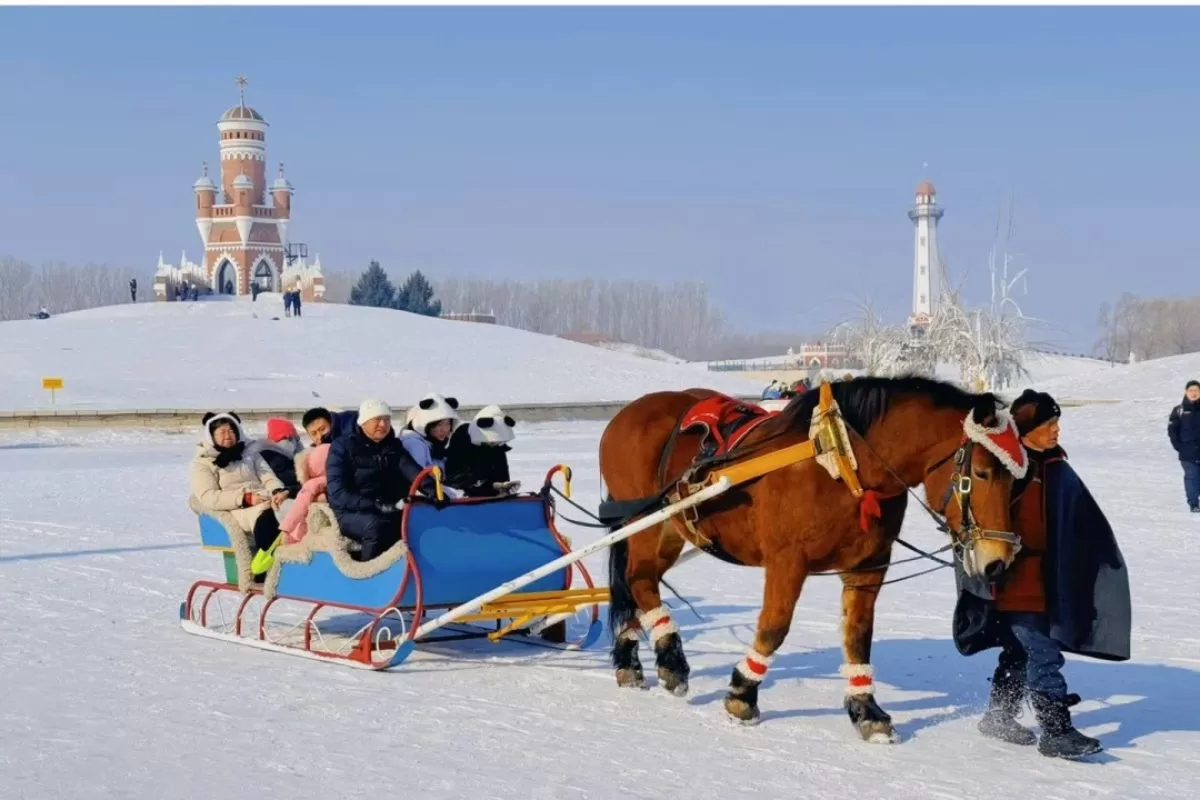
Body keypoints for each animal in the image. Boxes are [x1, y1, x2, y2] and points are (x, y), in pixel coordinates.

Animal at [595, 379, 1027, 743]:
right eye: (982, 473)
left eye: (1018, 479)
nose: (998, 560)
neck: (842, 462)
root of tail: (628, 413)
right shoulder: (788, 561)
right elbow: (774, 628)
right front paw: (743, 693)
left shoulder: (870, 565)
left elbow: (858, 635)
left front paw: (867, 710)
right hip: (643, 522)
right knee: (639, 579)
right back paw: (670, 659)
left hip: (671, 531)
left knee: (638, 584)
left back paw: (633, 657)